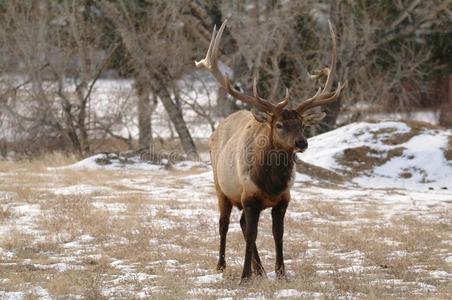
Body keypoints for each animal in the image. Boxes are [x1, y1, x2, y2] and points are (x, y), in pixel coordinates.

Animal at [196, 19, 344, 282]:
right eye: (279, 125)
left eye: (302, 124)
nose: (302, 143)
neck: (270, 183)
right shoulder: (249, 196)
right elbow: (252, 233)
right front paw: (244, 276)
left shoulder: (284, 199)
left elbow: (278, 234)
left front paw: (281, 273)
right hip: (221, 187)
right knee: (224, 223)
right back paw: (222, 266)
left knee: (241, 223)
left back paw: (261, 270)